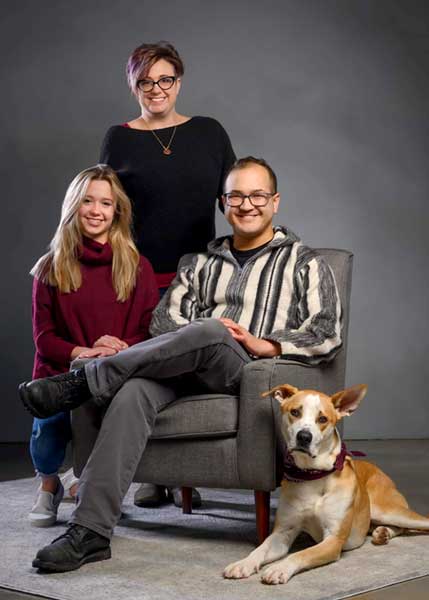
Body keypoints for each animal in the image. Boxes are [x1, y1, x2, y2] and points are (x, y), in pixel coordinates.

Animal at [222, 384, 428, 584]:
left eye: (322, 419)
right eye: (295, 412)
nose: (304, 436)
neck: (313, 475)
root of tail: (379, 470)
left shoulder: (333, 540)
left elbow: (301, 554)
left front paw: (279, 568)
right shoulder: (282, 533)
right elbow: (261, 549)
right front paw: (243, 563)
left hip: (387, 510)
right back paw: (383, 533)